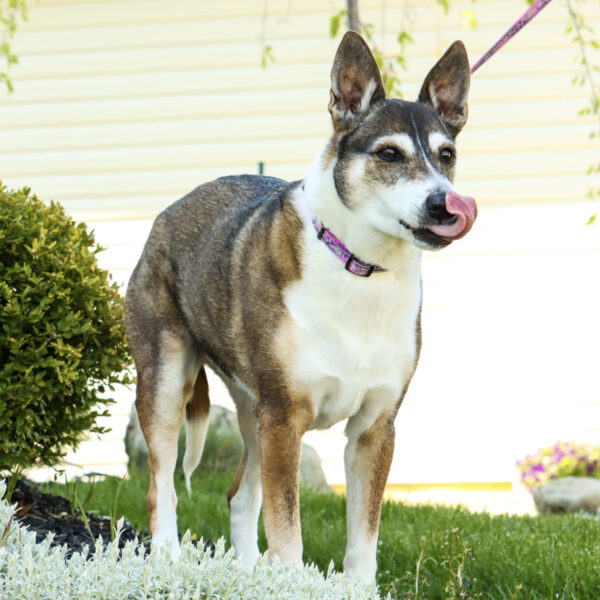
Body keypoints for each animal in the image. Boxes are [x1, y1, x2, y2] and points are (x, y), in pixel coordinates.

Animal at [125, 31, 478, 580]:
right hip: (167, 382)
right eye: (389, 154)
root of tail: (170, 209)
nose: (445, 205)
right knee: (161, 484)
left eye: (447, 154)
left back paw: (248, 574)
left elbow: (363, 539)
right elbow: (287, 532)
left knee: (240, 496)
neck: (360, 266)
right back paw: (166, 558)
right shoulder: (285, 416)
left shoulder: (374, 428)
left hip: (253, 408)